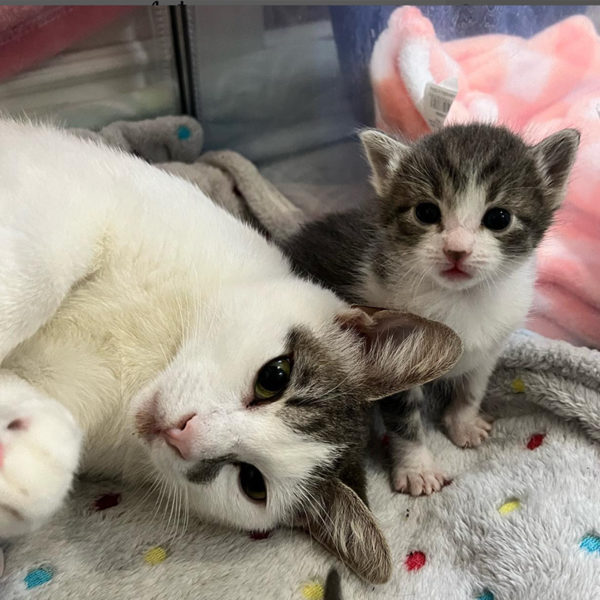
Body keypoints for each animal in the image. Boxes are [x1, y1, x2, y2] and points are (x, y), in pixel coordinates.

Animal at [0, 119, 462, 584]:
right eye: (275, 376)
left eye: (252, 482)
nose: (182, 432)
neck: (145, 367)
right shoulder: (97, 200)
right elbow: (36, 282)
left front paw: (28, 461)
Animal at [284, 123, 580, 496]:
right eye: (426, 212)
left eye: (499, 218)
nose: (457, 250)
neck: (461, 299)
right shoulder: (391, 352)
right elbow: (405, 420)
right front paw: (417, 469)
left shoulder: (493, 343)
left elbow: (473, 386)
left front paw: (463, 422)